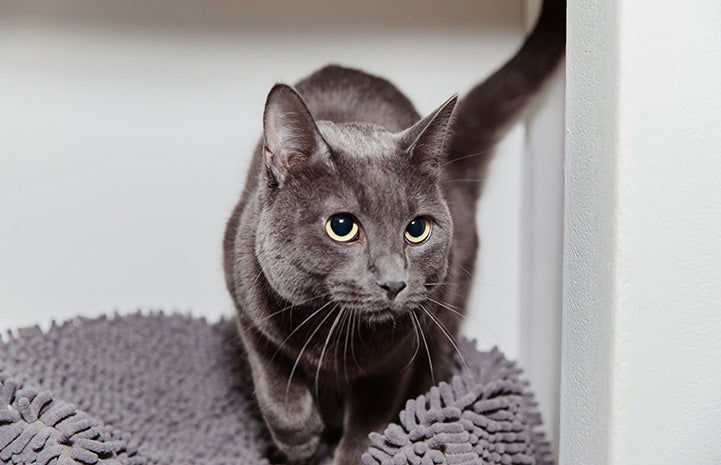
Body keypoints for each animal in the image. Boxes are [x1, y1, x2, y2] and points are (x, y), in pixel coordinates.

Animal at [222, 1, 564, 462]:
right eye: (342, 227)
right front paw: (299, 439)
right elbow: (273, 380)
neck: (331, 335)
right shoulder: (247, 300)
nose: (394, 282)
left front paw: (347, 450)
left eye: (417, 229)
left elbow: (368, 424)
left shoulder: (395, 359)